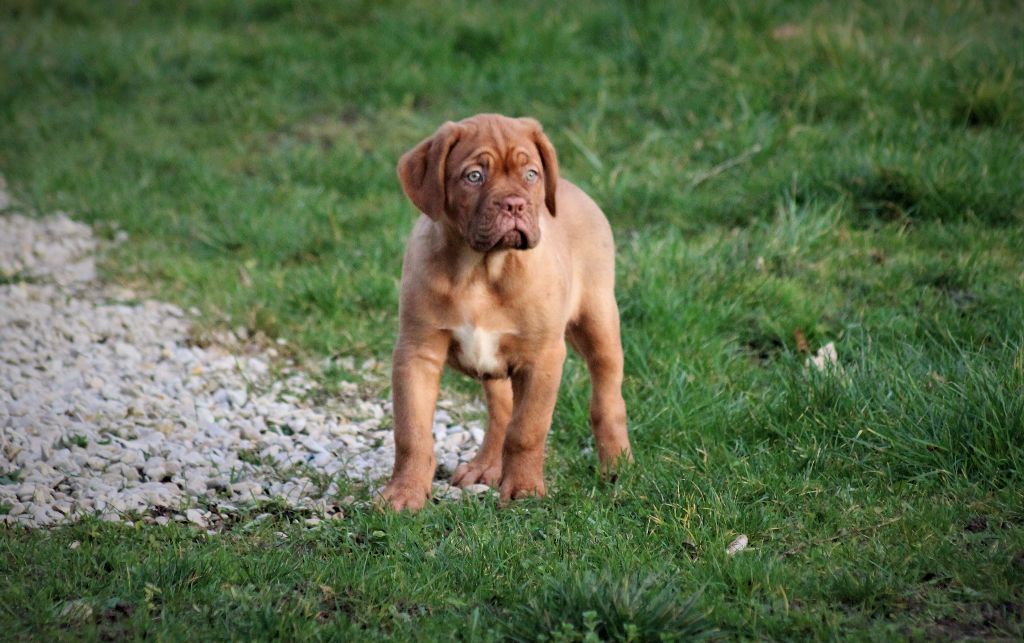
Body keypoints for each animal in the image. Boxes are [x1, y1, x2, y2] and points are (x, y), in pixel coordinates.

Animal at [380, 113, 626, 509]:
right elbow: (411, 432)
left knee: (607, 398)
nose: (514, 205)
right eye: (474, 176)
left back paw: (618, 464)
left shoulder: (543, 357)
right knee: (502, 411)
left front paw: (524, 489)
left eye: (531, 174)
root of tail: (571, 188)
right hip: (496, 365)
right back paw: (487, 467)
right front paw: (404, 493)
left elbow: (527, 429)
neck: (482, 270)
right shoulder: (416, 353)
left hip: (599, 320)